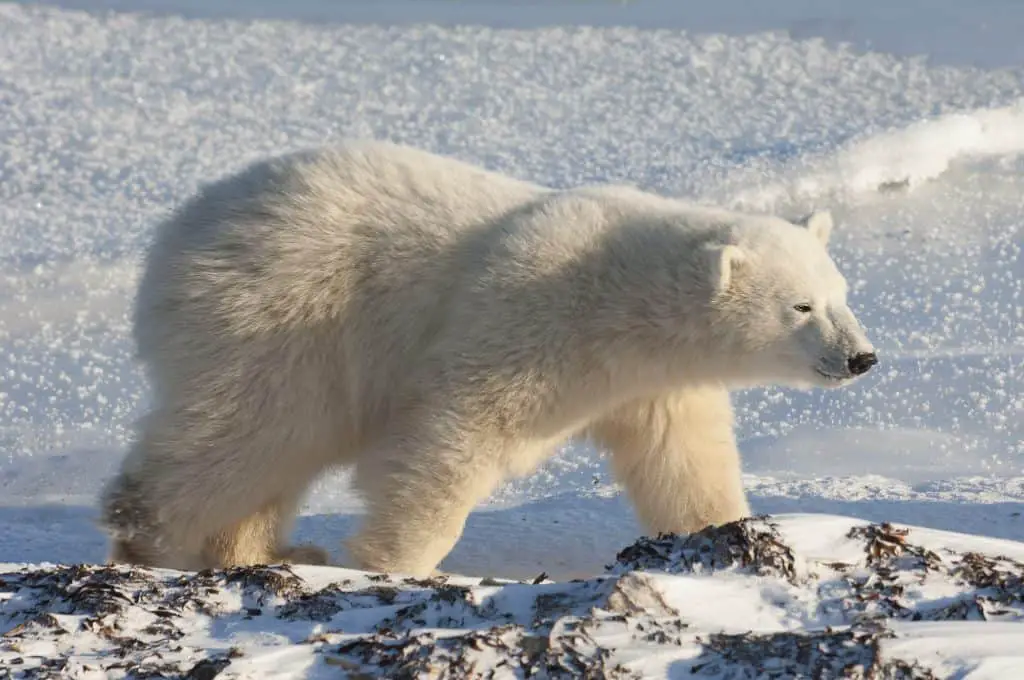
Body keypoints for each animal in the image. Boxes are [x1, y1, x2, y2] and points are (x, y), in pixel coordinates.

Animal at [99, 140, 876, 577]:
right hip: (283, 313)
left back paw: (264, 552)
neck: (619, 298)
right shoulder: (527, 318)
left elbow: (683, 460)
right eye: (800, 307)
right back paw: (149, 535)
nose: (862, 357)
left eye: (841, 294)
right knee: (252, 428)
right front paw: (397, 563)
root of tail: (179, 231)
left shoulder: (651, 384)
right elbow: (455, 434)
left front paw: (726, 534)